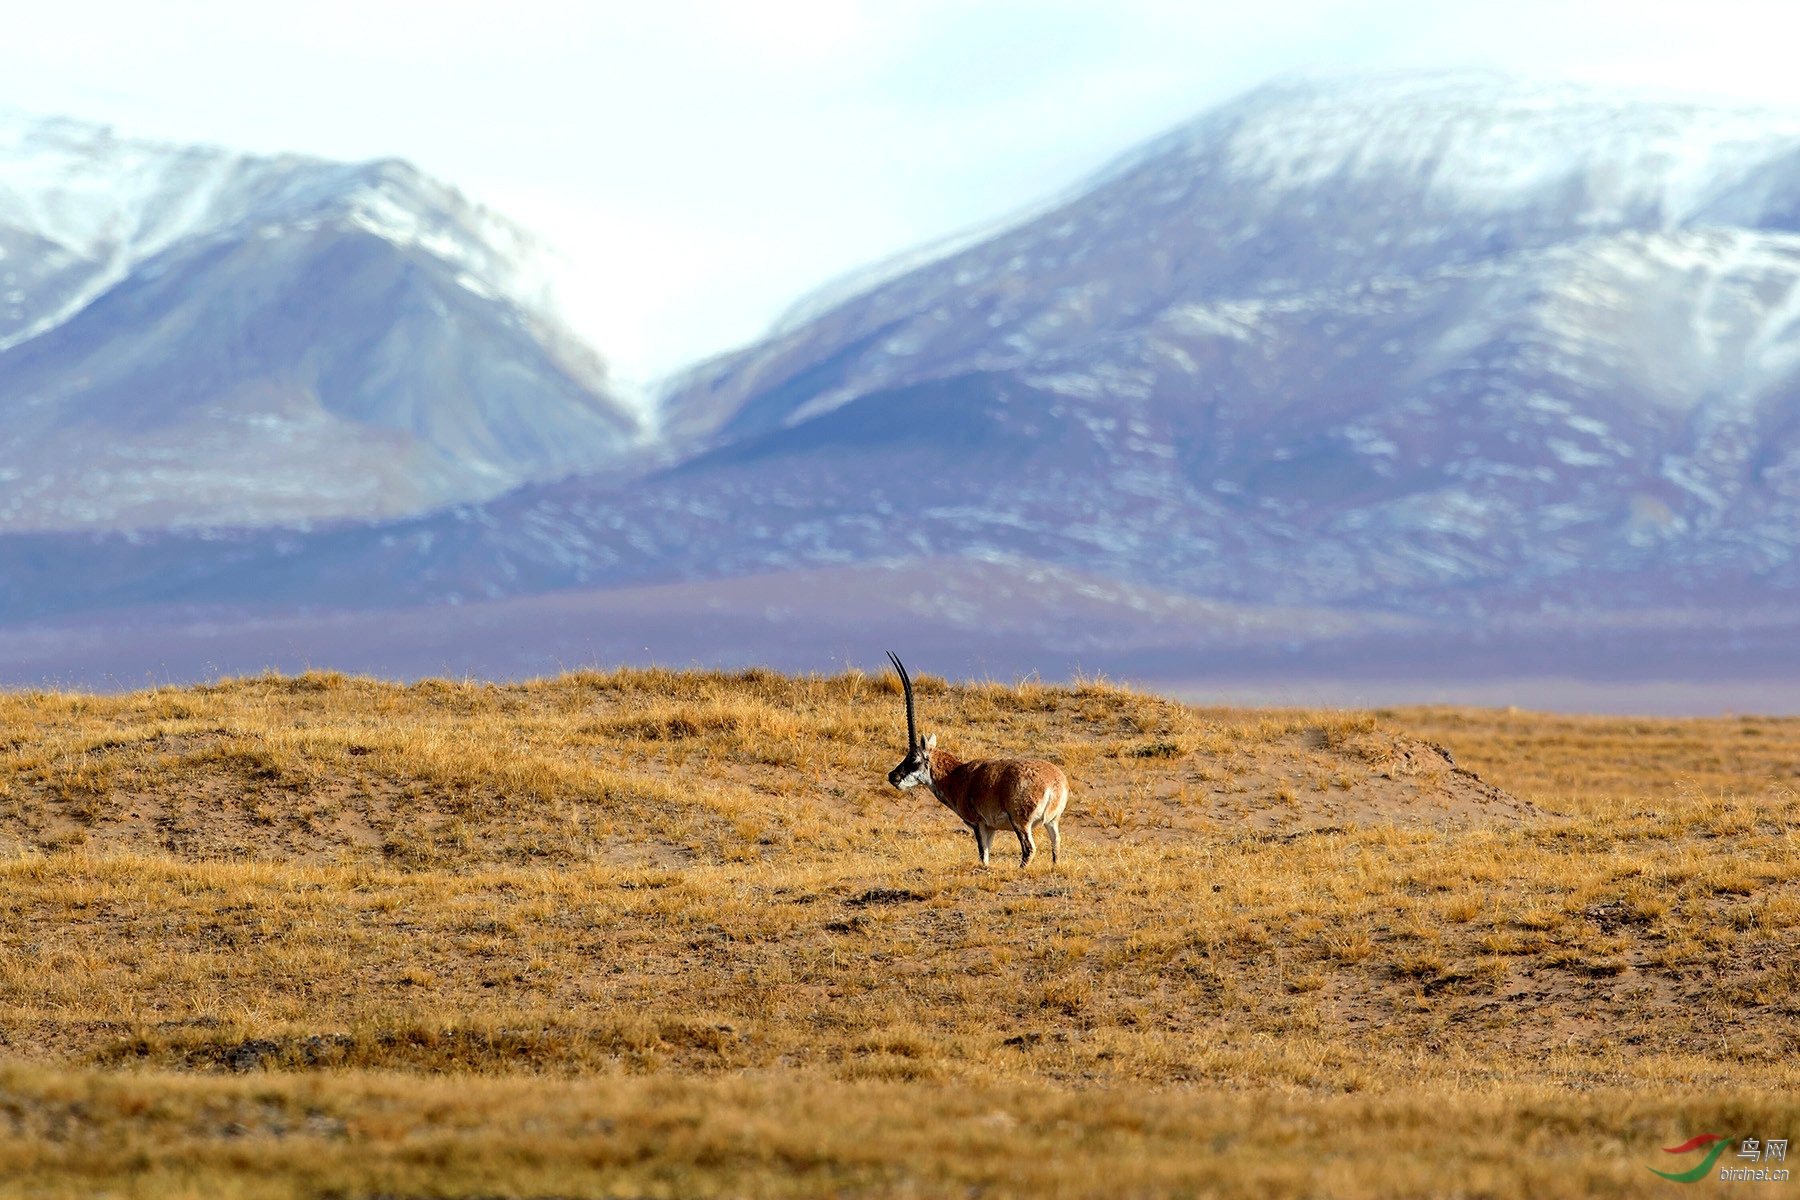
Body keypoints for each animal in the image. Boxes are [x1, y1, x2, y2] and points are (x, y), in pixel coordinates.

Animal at [885, 651, 1065, 867]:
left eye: (913, 757)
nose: (892, 776)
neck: (956, 775)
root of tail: (1055, 784)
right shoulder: (991, 828)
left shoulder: (979, 824)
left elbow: (983, 856)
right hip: (1052, 823)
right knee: (1056, 845)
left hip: (1021, 823)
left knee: (1029, 849)